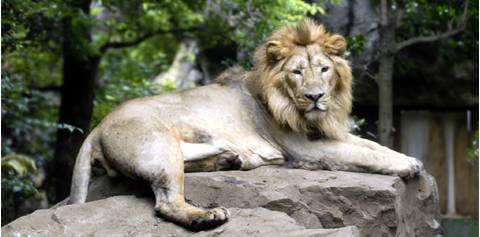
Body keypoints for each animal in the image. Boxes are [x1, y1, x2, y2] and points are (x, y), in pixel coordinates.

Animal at [68, 19, 424, 231]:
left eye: (324, 69)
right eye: (297, 72)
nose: (315, 97)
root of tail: (98, 126)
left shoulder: (326, 132)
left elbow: (373, 145)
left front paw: (410, 158)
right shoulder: (306, 148)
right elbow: (366, 155)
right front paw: (407, 166)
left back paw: (231, 160)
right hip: (158, 146)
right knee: (166, 203)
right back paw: (207, 215)